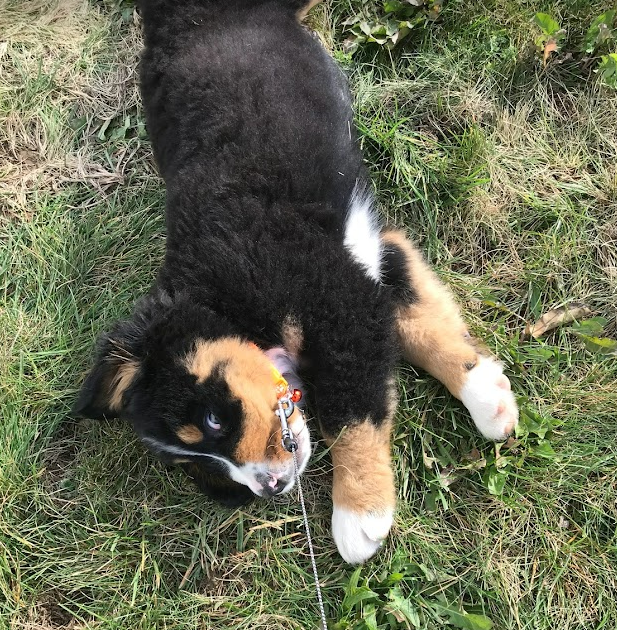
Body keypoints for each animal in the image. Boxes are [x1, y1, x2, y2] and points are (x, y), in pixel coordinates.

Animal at [77, 0, 520, 564]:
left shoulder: (335, 301)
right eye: (196, 465)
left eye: (214, 421)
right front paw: (490, 397)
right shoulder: (368, 263)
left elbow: (351, 412)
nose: (270, 489)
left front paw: (358, 515)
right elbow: (426, 327)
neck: (223, 294)